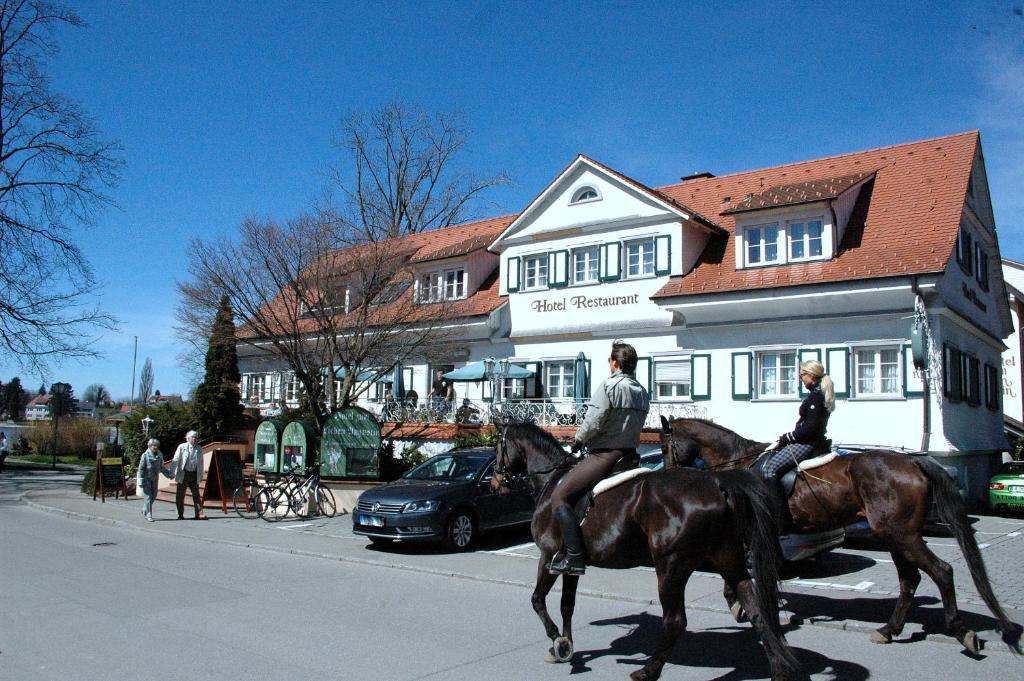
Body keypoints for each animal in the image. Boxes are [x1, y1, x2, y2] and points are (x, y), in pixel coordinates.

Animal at [493, 419, 798, 679]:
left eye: (497, 445)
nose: (495, 482)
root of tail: (717, 484)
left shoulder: (547, 556)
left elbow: (537, 600)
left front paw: (558, 641)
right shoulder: (571, 564)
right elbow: (567, 604)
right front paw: (566, 644)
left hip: (671, 567)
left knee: (675, 621)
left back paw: (648, 670)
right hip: (728, 559)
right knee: (756, 610)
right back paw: (779, 669)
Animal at [659, 413, 1019, 655]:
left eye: (664, 445)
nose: (667, 473)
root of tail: (913, 463)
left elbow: (742, 570)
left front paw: (739, 605)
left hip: (901, 535)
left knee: (941, 572)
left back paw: (961, 632)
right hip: (895, 536)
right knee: (910, 580)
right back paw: (888, 630)